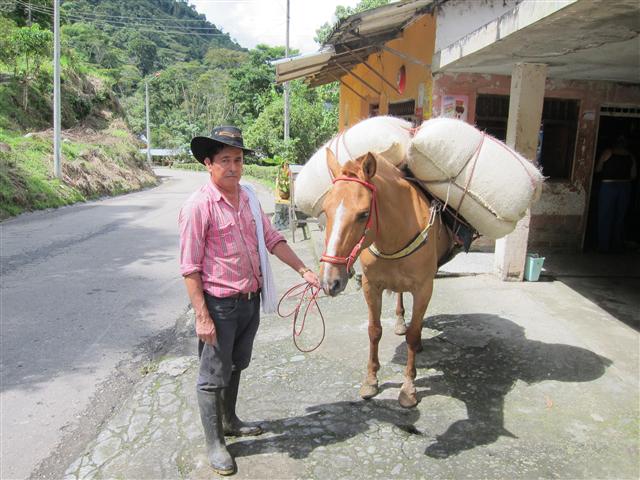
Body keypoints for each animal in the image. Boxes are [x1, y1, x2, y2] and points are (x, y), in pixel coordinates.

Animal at [318, 148, 456, 406]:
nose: (330, 281)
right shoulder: (371, 286)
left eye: (363, 214)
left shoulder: (423, 287)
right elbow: (374, 330)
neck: (394, 235)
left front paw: (409, 388)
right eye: (324, 210)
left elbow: (413, 333)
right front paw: (371, 381)